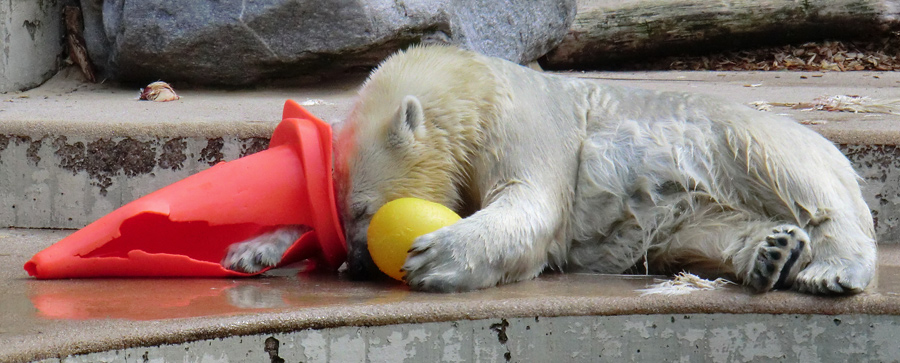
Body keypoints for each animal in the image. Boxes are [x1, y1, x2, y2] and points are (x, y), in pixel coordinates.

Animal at [221, 45, 876, 296]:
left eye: (365, 211)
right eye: (345, 212)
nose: (357, 265)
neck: (475, 84)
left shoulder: (523, 120)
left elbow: (529, 200)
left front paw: (435, 257)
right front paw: (251, 249)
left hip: (736, 132)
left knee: (789, 170)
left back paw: (831, 267)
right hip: (690, 217)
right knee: (707, 233)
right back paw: (772, 253)